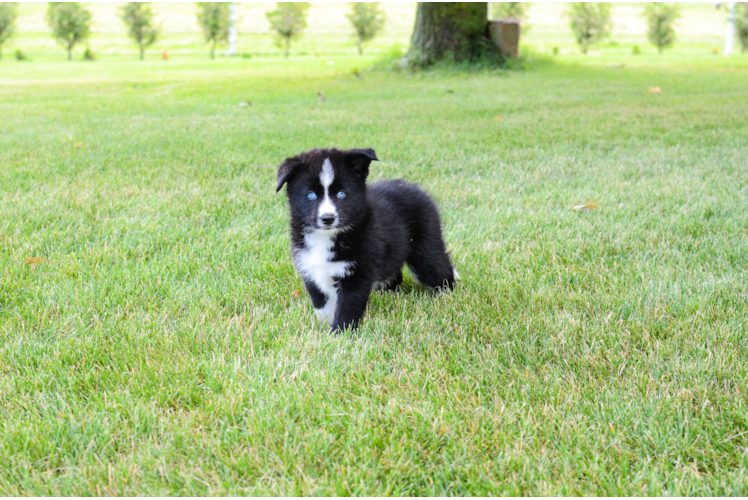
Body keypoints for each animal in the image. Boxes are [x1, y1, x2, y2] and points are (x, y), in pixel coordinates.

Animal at [278, 147, 458, 332]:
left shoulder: (357, 273)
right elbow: (322, 304)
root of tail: (416, 189)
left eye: (341, 194)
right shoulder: (310, 268)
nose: (327, 218)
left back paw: (447, 296)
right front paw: (323, 329)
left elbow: (348, 306)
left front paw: (340, 332)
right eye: (311, 195)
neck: (326, 237)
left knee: (437, 267)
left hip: (424, 246)